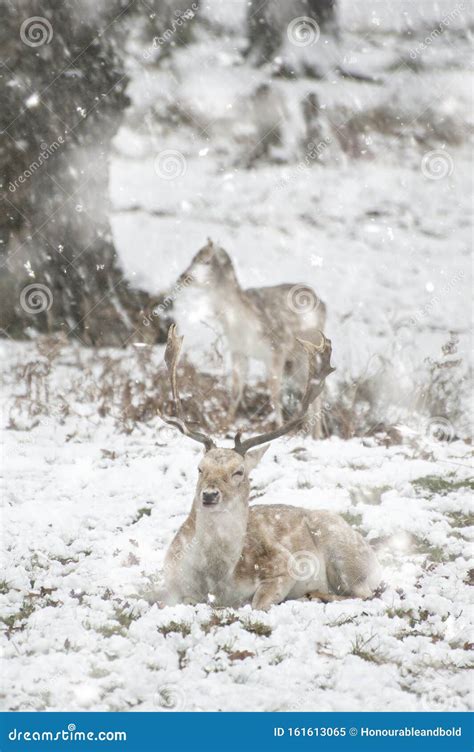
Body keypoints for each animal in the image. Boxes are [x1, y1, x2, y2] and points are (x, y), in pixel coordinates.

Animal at [159, 324, 382, 612]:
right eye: (200, 468)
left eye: (239, 472)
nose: (209, 495)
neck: (216, 581)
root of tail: (372, 556)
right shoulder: (170, 580)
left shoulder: (283, 565)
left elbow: (257, 603)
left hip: (346, 555)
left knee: (366, 593)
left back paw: (316, 594)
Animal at [176, 241, 328, 438]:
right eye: (193, 257)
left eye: (206, 260)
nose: (183, 277)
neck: (242, 325)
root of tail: (324, 306)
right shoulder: (238, 350)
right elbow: (236, 389)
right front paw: (224, 425)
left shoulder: (276, 349)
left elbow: (274, 392)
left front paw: (279, 428)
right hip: (297, 359)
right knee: (310, 386)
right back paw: (313, 434)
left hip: (309, 349)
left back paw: (316, 434)